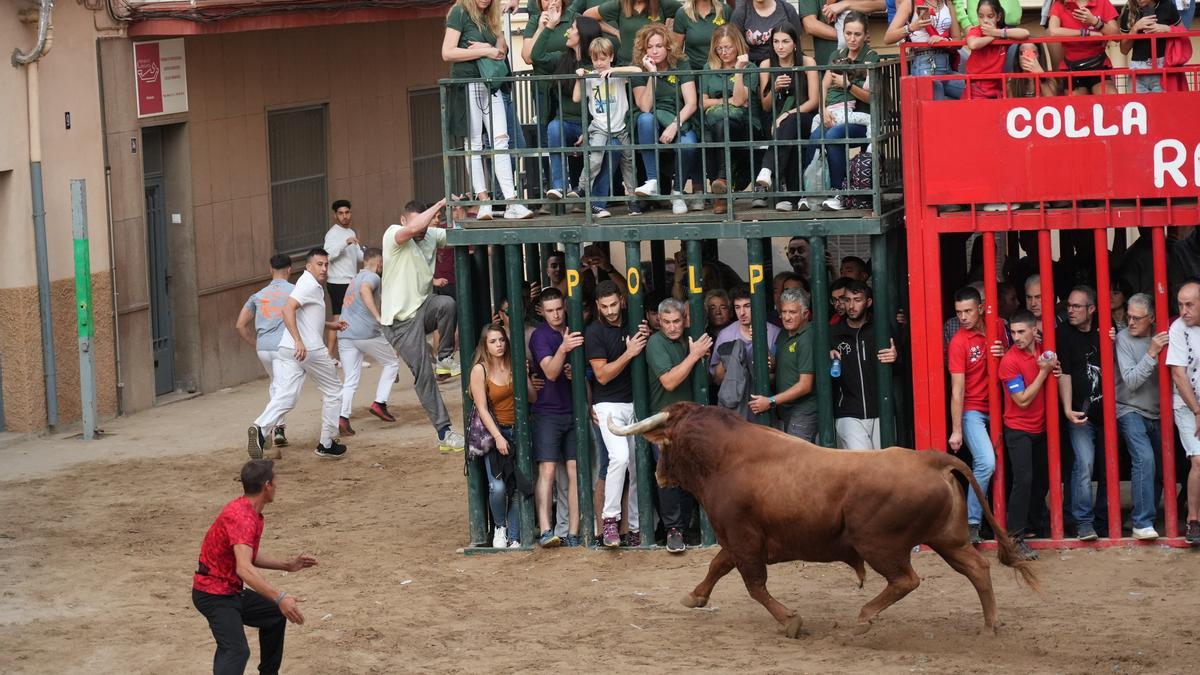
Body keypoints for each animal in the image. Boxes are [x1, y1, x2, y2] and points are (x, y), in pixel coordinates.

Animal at [614, 398, 1036, 634]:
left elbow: (753, 585)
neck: (724, 457)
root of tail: (932, 459)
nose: (658, 474)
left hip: (879, 544)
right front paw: (695, 597)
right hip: (947, 539)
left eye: (666, 445)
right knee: (977, 569)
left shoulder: (742, 539)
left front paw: (790, 622)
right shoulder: (737, 542)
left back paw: (865, 617)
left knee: (906, 579)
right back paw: (990, 625)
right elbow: (718, 566)